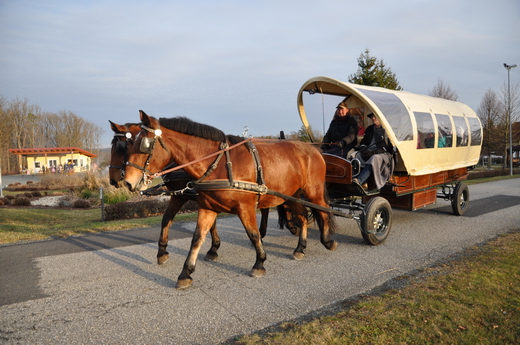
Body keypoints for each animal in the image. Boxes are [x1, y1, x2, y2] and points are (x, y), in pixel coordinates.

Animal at [123, 110, 336, 288]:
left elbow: (253, 234)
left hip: (313, 192)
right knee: (302, 217)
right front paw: (186, 272)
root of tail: (313, 149)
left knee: (324, 210)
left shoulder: (245, 207)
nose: (127, 182)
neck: (217, 164)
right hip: (292, 195)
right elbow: (197, 238)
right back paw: (300, 248)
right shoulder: (207, 208)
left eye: (144, 145)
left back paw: (327, 240)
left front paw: (259, 262)